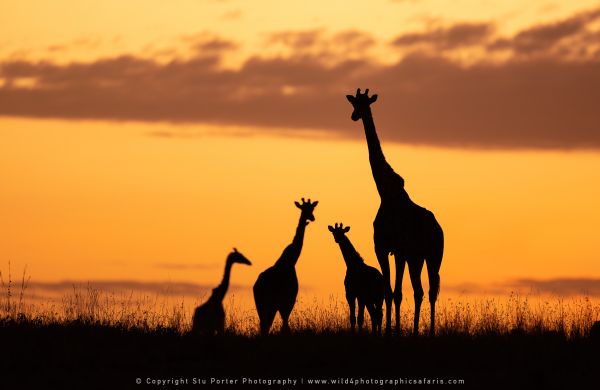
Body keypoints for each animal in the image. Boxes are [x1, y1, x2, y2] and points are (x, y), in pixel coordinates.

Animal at [253, 198, 318, 336]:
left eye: (312, 208)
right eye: (304, 208)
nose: (312, 218)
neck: (291, 261)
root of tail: (256, 286)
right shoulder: (288, 300)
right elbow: (285, 324)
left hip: (262, 304)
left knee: (264, 325)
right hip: (269, 303)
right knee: (266, 324)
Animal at [344, 89, 442, 336]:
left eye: (364, 103)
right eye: (354, 103)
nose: (354, 115)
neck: (385, 193)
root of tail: (439, 229)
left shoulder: (392, 249)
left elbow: (394, 292)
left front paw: (392, 331)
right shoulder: (390, 250)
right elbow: (391, 292)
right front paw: (390, 330)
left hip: (433, 255)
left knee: (430, 290)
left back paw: (429, 331)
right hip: (419, 257)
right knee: (421, 291)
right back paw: (418, 330)